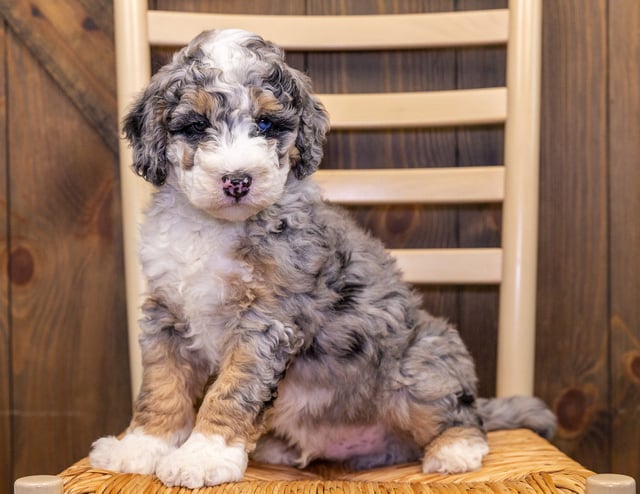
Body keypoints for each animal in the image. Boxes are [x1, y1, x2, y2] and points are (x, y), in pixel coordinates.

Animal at [89, 29, 556, 488]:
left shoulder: (264, 323)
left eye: (265, 124)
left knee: (458, 411)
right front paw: (141, 448)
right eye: (197, 125)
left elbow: (232, 391)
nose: (237, 180)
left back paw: (454, 451)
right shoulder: (166, 315)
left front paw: (204, 456)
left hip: (418, 366)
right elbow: (160, 387)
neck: (214, 227)